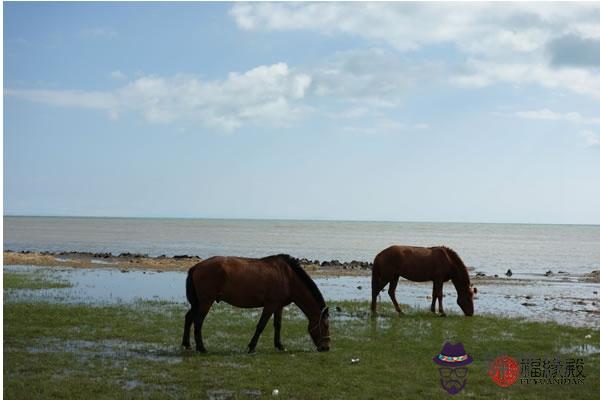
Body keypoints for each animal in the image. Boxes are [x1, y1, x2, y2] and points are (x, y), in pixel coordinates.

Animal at [183, 253, 332, 354]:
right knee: (198, 322)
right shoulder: (270, 305)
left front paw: (279, 345)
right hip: (206, 302)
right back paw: (201, 348)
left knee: (189, 318)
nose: (326, 347)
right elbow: (261, 325)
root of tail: (196, 267)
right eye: (325, 326)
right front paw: (251, 347)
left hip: (198, 303)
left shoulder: (278, 306)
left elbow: (278, 325)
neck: (288, 277)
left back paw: (186, 344)